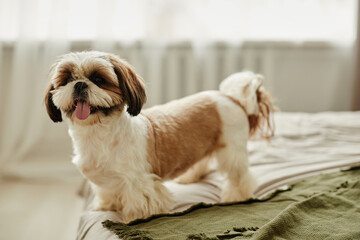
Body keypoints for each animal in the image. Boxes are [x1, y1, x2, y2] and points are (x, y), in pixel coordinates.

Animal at [43, 50, 274, 223]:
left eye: (98, 79)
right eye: (66, 79)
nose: (80, 84)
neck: (99, 134)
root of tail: (230, 98)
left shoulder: (140, 183)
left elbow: (139, 204)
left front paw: (132, 219)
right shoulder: (104, 181)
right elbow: (108, 193)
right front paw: (106, 206)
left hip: (232, 151)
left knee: (239, 177)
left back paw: (236, 196)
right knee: (202, 161)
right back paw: (189, 177)